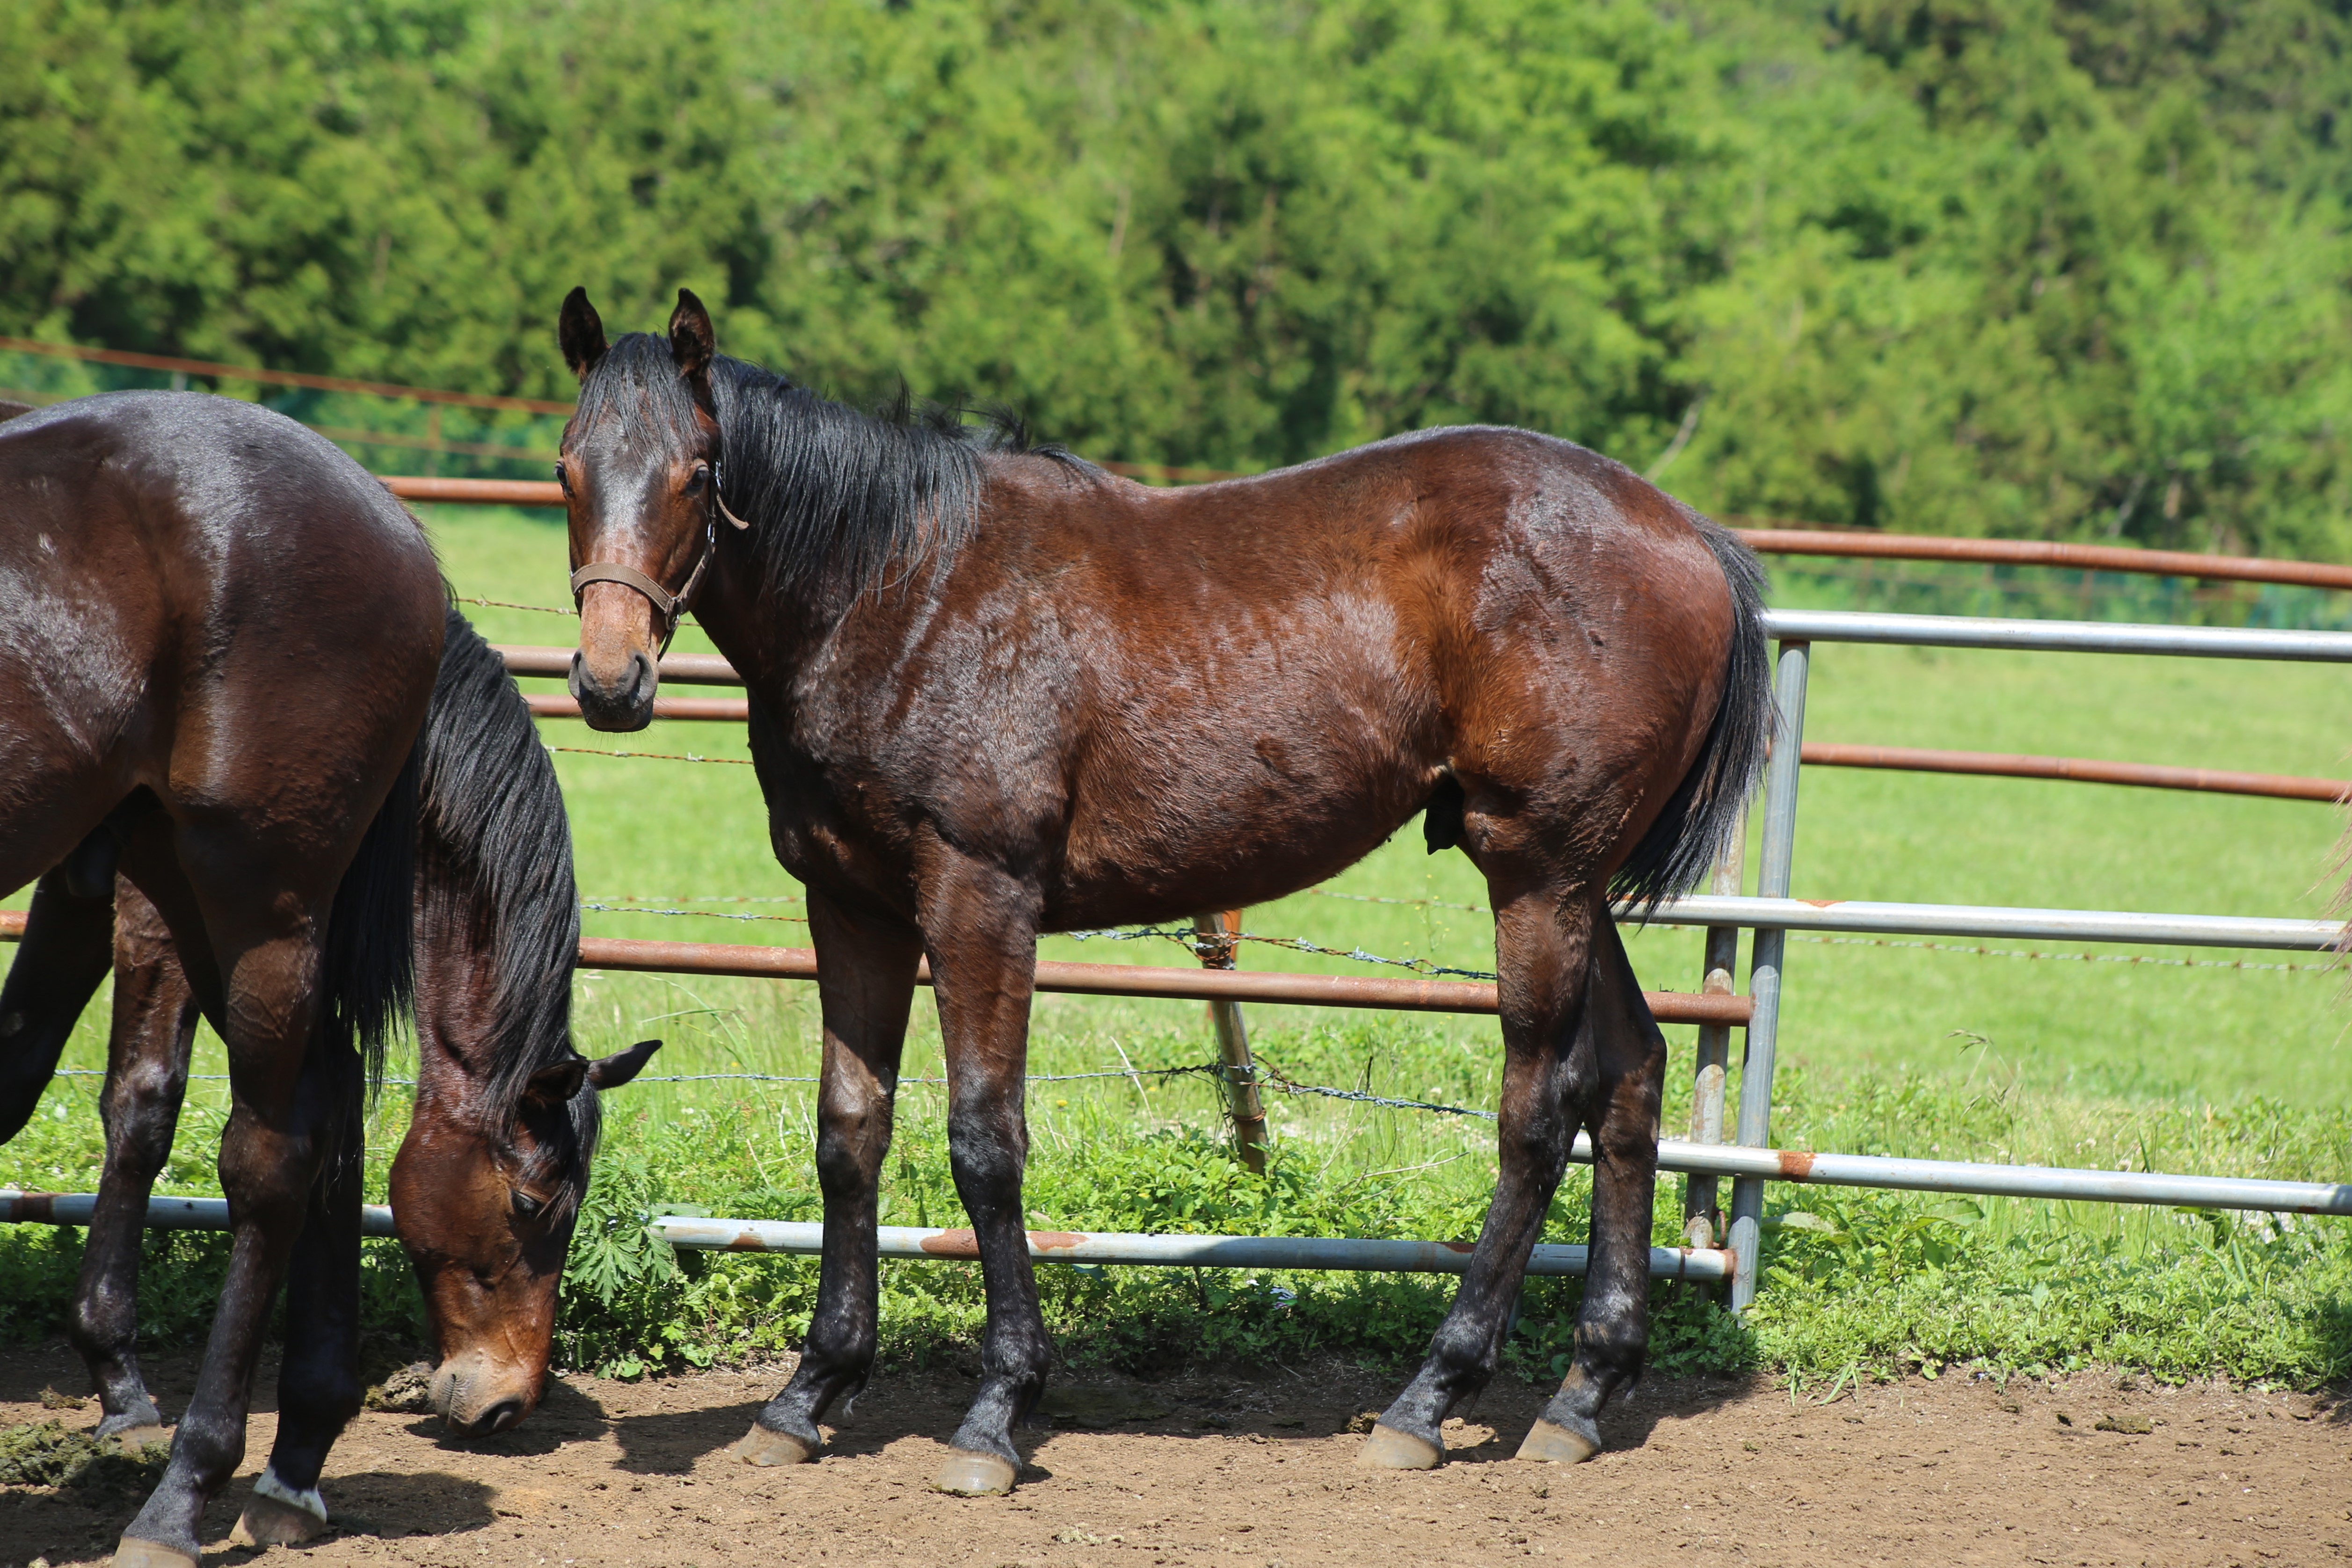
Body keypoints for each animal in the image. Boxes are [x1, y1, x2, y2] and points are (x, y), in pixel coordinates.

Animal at [0, 402, 630, 1568]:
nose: (506, 1403)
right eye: (534, 1205)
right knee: (295, 1126)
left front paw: (123, 1376)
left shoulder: (109, 878)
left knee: (289, 1129)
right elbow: (105, 1092)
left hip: (247, 891)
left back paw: (238, 1477)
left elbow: (101, 1090)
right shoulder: (118, 885)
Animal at [550, 291, 1769, 1495]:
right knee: (1630, 1073)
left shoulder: (980, 896)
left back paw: (1429, 1396)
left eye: (694, 474)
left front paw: (998, 1407)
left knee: (1539, 1106)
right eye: (567, 469)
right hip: (1572, 882)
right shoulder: (854, 907)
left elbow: (983, 1139)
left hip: (1536, 874)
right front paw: (810, 1390)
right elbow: (849, 1132)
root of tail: (1690, 537)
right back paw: (1583, 1391)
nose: (610, 681)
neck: (902, 591)